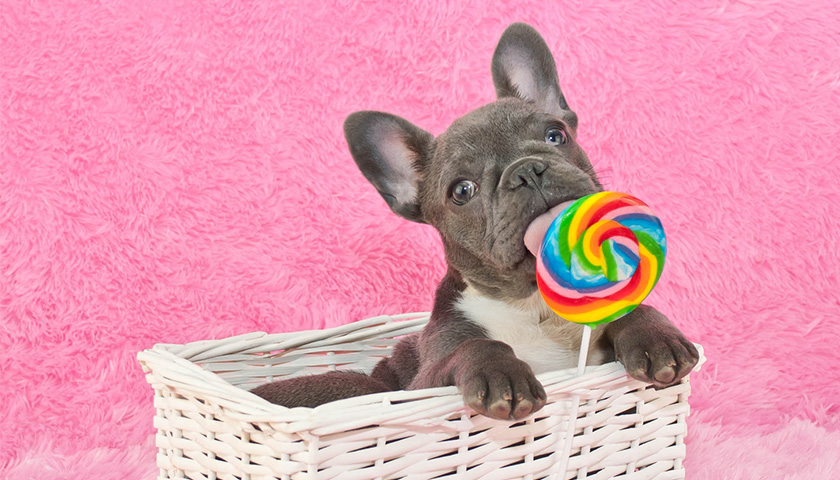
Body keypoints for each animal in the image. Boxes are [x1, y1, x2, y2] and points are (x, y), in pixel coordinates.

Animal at [253, 23, 700, 420]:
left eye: (555, 135)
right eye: (462, 190)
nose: (527, 170)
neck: (533, 305)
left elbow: (627, 311)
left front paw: (655, 336)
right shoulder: (423, 386)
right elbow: (476, 348)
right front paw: (501, 375)